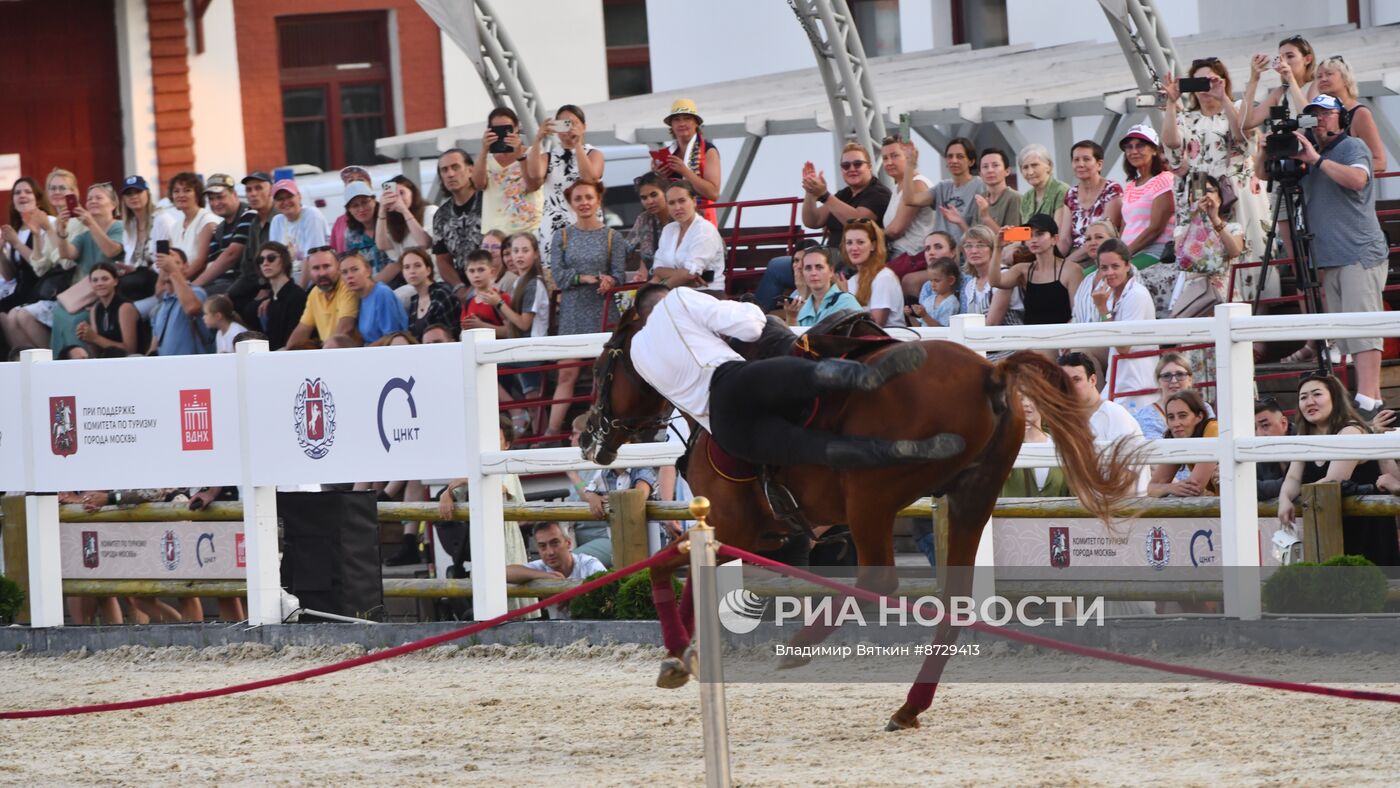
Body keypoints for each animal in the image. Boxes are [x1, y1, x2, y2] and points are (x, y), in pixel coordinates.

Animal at [579, 307, 1136, 733]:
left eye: (605, 364)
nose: (588, 435)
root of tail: (989, 374)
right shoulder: (732, 535)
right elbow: (683, 576)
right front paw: (681, 654)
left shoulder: (734, 528)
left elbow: (661, 566)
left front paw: (677, 652)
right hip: (970, 498)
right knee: (954, 603)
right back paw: (909, 706)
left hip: (870, 496)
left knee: (879, 578)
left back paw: (799, 647)